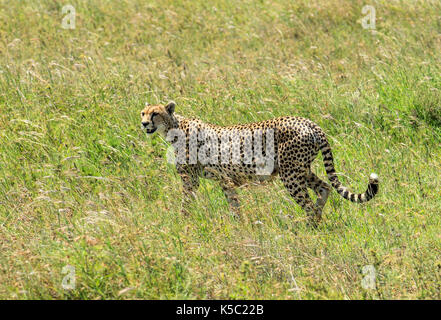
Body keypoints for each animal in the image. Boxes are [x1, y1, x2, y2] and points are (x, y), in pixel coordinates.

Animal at [141, 101, 378, 224]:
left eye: (155, 114)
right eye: (143, 113)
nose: (143, 123)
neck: (174, 127)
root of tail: (310, 123)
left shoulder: (193, 180)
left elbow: (187, 203)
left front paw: (182, 222)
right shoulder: (224, 180)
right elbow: (234, 204)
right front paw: (240, 226)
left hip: (290, 175)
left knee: (309, 204)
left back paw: (309, 227)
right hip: (299, 169)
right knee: (325, 188)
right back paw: (318, 216)